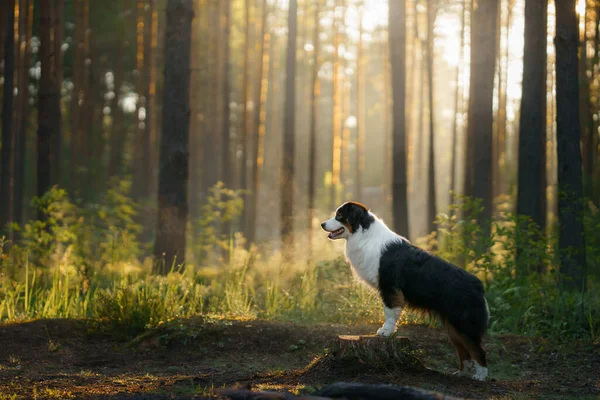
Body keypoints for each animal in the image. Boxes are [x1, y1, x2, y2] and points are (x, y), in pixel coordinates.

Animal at [322, 202, 490, 380]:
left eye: (339, 216)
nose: (322, 224)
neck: (364, 234)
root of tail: (478, 285)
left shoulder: (389, 287)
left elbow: (390, 312)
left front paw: (386, 331)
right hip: (453, 325)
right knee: (463, 350)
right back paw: (461, 373)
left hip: (464, 323)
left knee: (478, 350)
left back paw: (480, 376)